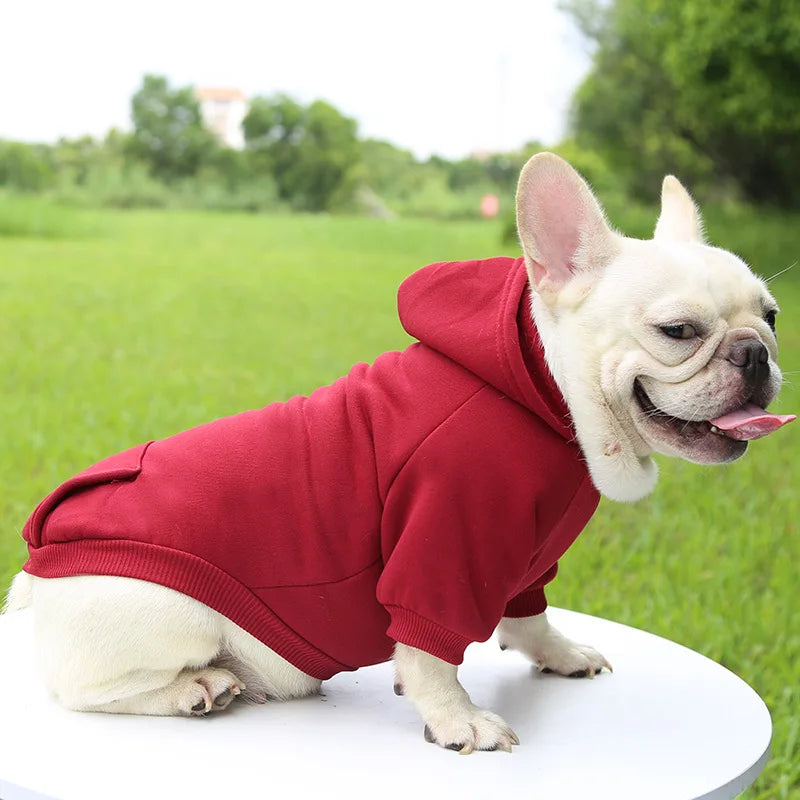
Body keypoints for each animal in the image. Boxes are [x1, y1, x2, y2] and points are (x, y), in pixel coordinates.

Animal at [1, 152, 792, 756]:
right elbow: (431, 651)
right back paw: (197, 687)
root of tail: (37, 571)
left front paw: (560, 654)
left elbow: (530, 617)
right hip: (172, 614)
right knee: (82, 691)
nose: (756, 353)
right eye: (679, 331)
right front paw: (458, 720)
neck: (549, 394)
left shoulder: (524, 560)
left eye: (773, 316)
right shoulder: (444, 548)